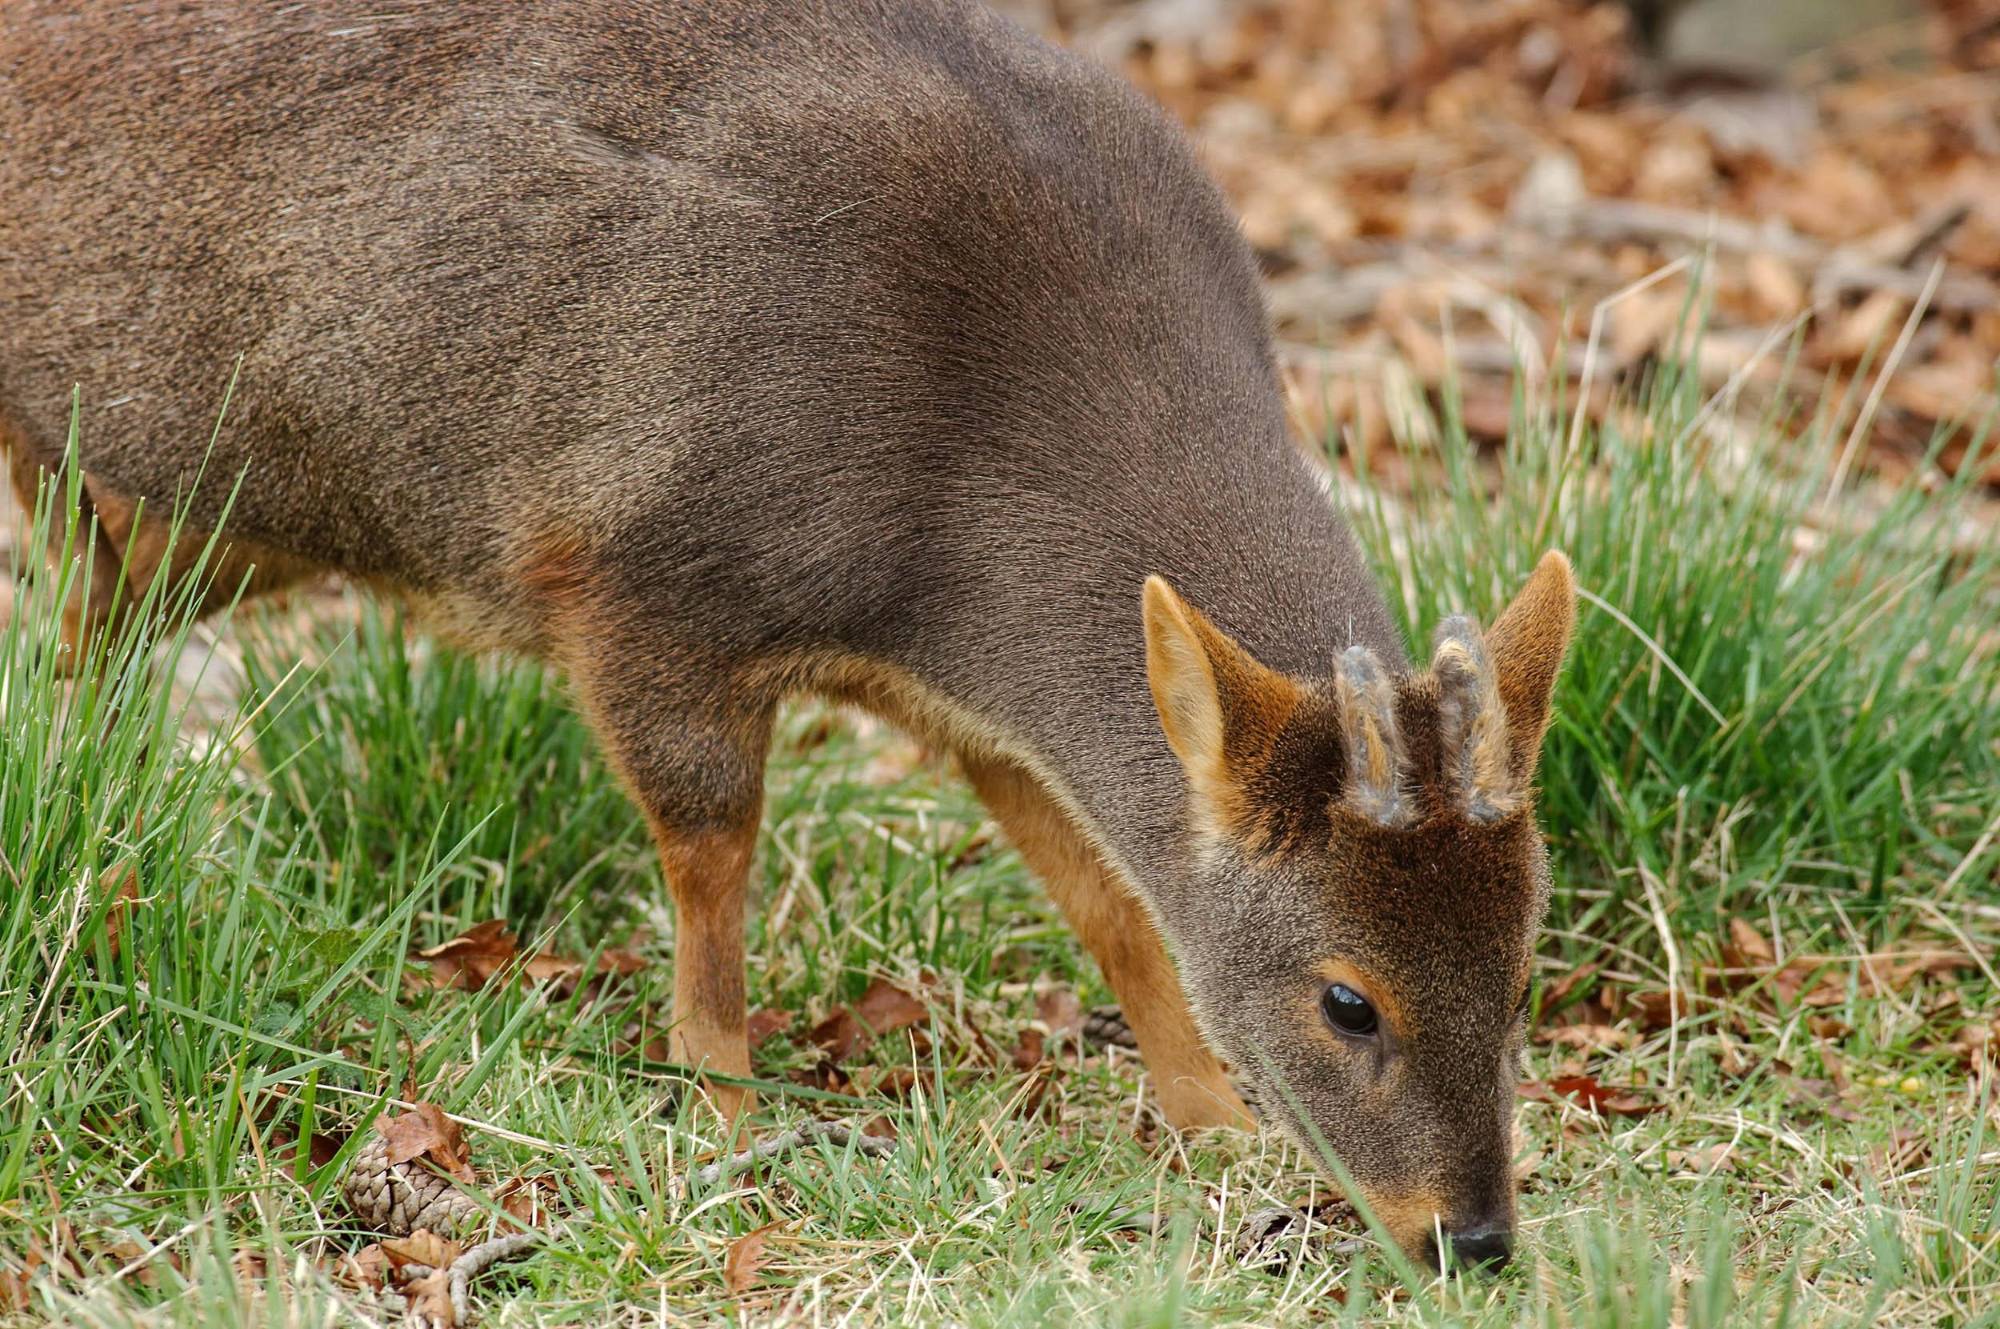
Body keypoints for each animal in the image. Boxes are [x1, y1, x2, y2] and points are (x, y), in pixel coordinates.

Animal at [0, 0, 1576, 1271]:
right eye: (1347, 1000)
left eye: (1522, 969)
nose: (1471, 1238)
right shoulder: (636, 585)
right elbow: (712, 864)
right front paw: (722, 1119)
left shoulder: (959, 690)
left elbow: (1104, 891)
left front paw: (1210, 1121)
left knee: (83, 647)